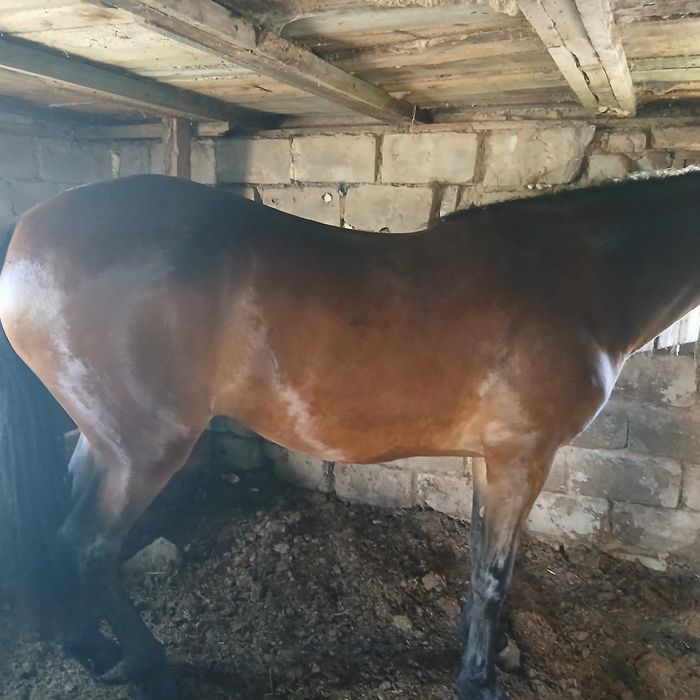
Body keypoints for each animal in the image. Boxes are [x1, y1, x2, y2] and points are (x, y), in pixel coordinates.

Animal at [0, 170, 698, 699]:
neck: (579, 277)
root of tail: (29, 233)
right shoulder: (525, 457)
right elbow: (496, 574)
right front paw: (478, 682)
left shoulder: (492, 458)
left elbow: (481, 556)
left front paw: (485, 646)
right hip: (144, 452)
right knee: (91, 544)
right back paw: (146, 663)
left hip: (102, 440)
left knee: (67, 530)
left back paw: (91, 649)